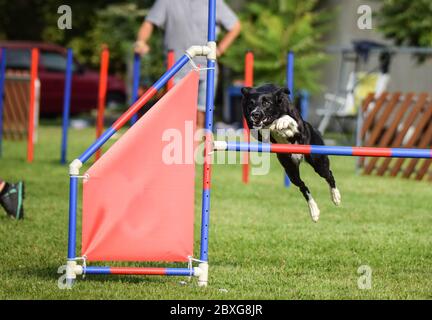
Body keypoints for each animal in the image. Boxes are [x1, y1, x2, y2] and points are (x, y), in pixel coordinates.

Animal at [241, 84, 340, 221]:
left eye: (266, 103)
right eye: (251, 103)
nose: (255, 114)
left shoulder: (300, 127)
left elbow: (289, 120)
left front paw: (282, 123)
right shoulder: (255, 130)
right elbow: (264, 128)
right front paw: (277, 127)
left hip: (319, 162)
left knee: (329, 175)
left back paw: (336, 197)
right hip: (290, 170)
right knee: (303, 186)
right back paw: (314, 211)